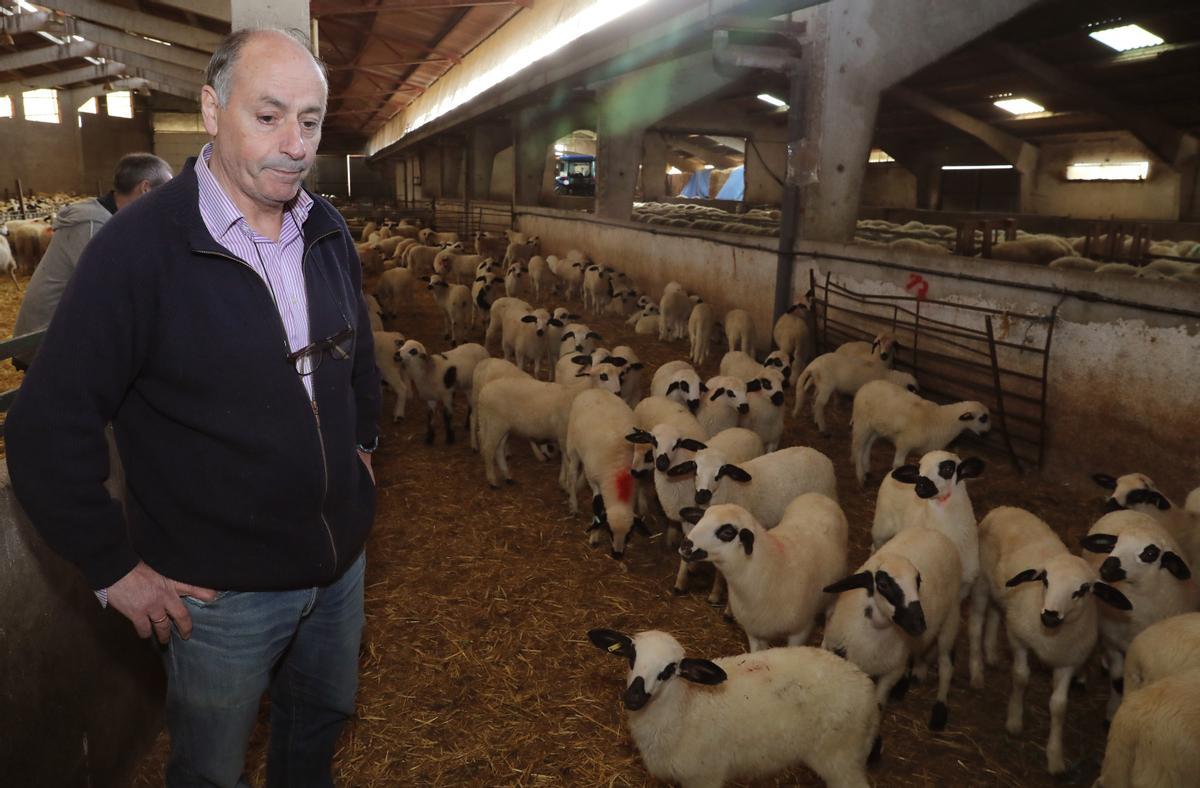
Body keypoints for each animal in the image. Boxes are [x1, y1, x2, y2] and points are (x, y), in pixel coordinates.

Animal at [585, 628, 878, 788]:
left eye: (669, 670)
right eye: (631, 657)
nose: (633, 697)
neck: (686, 708)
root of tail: (865, 684)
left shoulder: (705, 777)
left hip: (841, 756)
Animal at [681, 498, 849, 652]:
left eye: (727, 532)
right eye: (700, 519)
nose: (685, 546)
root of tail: (819, 497)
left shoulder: (801, 630)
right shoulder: (754, 630)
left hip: (833, 594)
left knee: (830, 618)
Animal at [825, 522, 964, 729]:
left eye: (918, 581)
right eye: (883, 584)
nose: (919, 624)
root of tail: (934, 532)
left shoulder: (890, 673)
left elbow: (878, 707)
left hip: (951, 617)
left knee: (947, 664)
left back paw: (939, 711)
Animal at [849, 381, 988, 484]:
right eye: (983, 418)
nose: (986, 434)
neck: (941, 419)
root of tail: (866, 385)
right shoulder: (905, 442)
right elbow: (898, 464)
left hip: (875, 428)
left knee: (868, 445)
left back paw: (867, 469)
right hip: (862, 423)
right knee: (858, 447)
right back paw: (860, 475)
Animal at [969, 506, 1128, 772]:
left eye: (1082, 590)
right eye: (1045, 579)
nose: (1050, 616)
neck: (1052, 637)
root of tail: (1006, 508)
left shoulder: (1069, 661)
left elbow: (1059, 706)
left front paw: (1055, 757)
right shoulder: (1019, 639)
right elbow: (1020, 677)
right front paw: (1014, 721)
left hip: (1002, 594)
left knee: (995, 612)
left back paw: (991, 654)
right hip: (981, 582)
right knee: (977, 622)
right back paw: (977, 672)